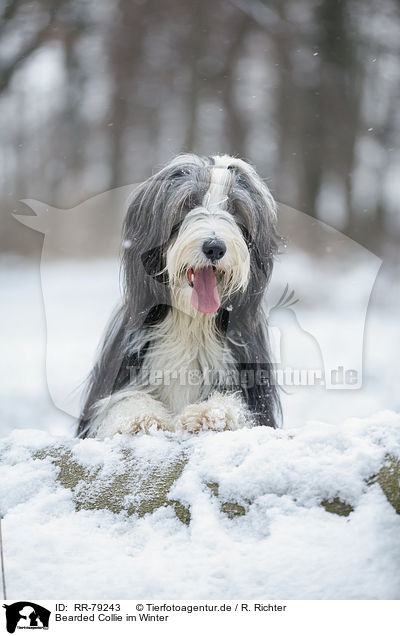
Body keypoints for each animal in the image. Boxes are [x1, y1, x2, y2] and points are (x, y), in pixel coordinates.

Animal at [76, 154, 280, 438]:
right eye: (189, 203)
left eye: (235, 209)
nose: (214, 247)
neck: (190, 324)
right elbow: (119, 403)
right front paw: (141, 417)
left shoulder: (256, 397)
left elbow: (241, 407)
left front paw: (211, 413)